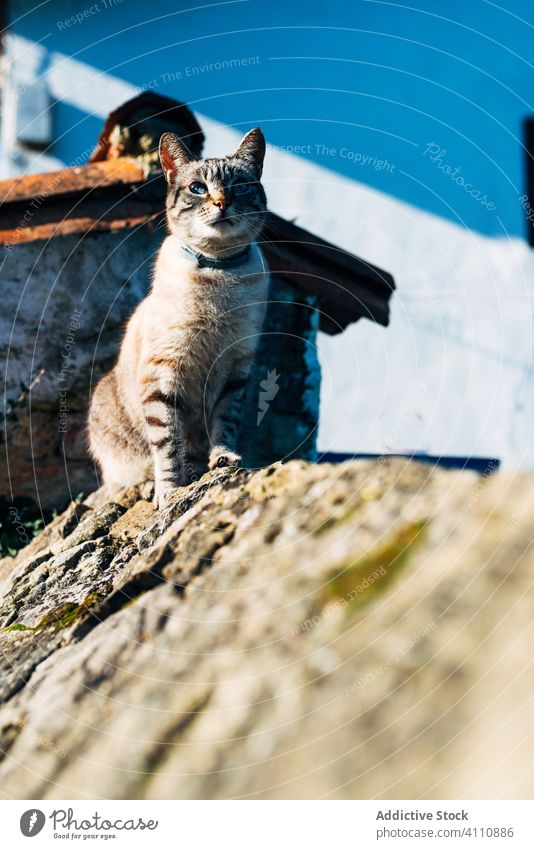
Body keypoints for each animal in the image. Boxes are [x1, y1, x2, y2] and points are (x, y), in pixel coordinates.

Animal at [90, 128, 272, 506]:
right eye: (198, 188)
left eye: (239, 186)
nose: (222, 203)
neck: (221, 273)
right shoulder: (164, 374)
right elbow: (168, 446)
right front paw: (171, 493)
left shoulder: (235, 369)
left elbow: (224, 423)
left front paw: (222, 460)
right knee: (122, 481)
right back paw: (150, 487)